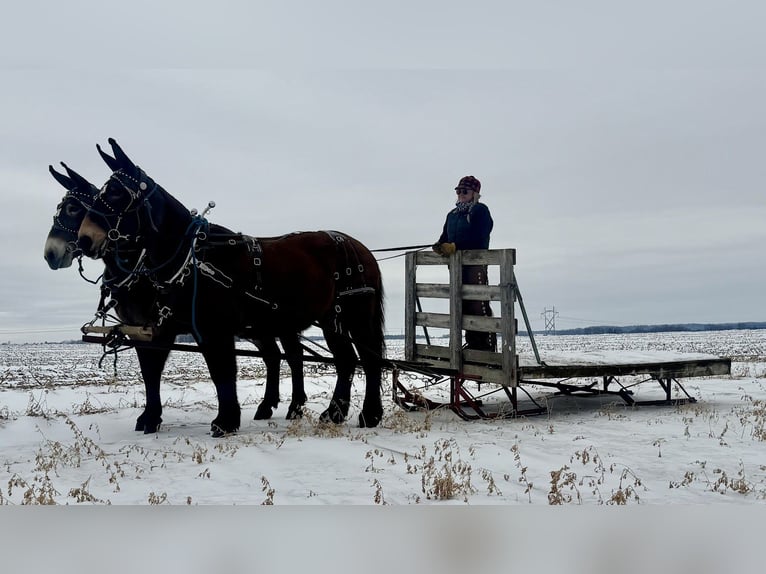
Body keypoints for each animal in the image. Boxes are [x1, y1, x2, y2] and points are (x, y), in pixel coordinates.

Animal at [77, 138, 385, 435]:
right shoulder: (172, 330)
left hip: (356, 314)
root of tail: (360, 248)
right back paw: (333, 413)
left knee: (369, 360)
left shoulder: (214, 329)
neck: (195, 258)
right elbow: (165, 372)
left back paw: (369, 414)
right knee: (345, 360)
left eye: (116, 193)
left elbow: (222, 372)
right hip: (330, 318)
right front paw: (154, 418)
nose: (84, 239)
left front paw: (225, 421)